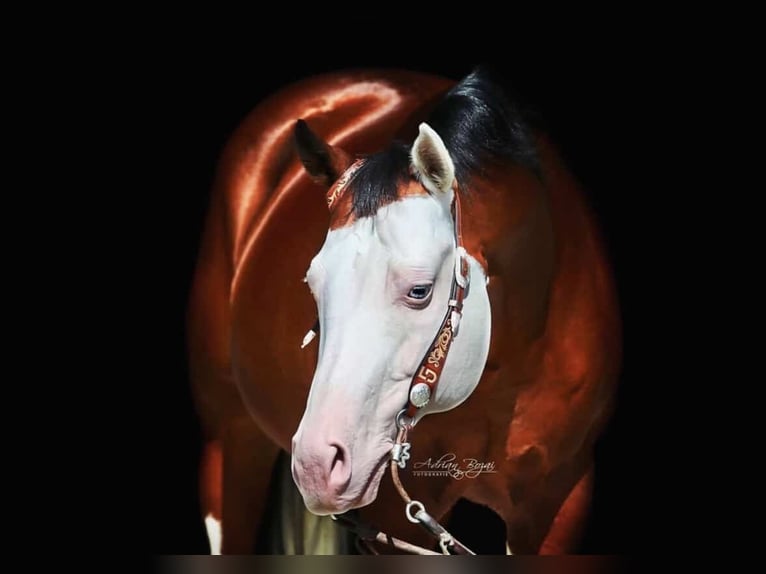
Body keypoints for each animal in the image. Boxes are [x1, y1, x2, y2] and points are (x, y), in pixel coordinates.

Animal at [186, 67, 622, 554]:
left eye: (419, 290)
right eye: (314, 285)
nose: (317, 465)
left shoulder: (560, 500)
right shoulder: (396, 518)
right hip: (228, 445)